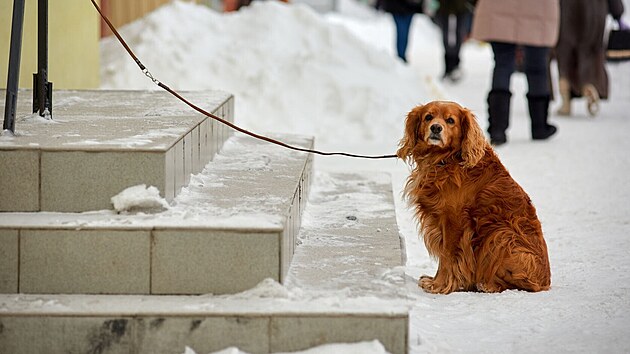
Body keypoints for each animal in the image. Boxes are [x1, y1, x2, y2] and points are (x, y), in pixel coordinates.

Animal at [400, 100, 552, 294]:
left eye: (450, 120)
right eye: (428, 117)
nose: (435, 128)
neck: (445, 159)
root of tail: (545, 282)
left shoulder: (454, 220)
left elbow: (446, 255)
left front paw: (440, 285)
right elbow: (444, 254)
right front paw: (436, 281)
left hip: (500, 235)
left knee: (522, 284)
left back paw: (487, 285)